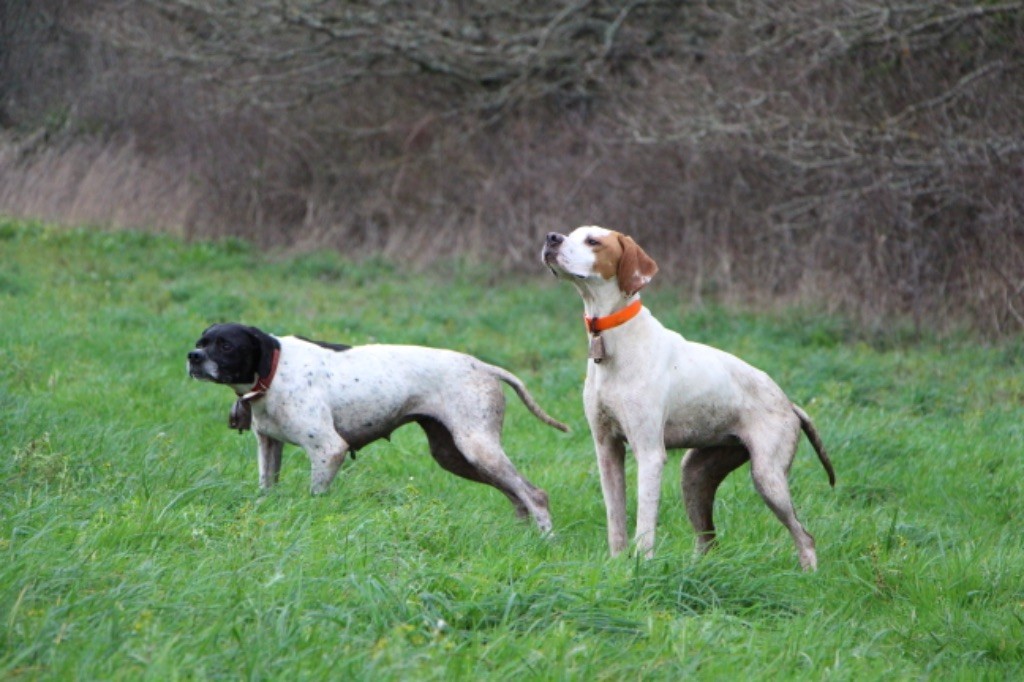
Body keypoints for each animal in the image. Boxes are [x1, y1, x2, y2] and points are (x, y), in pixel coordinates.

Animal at [186, 321, 569, 528]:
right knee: (516, 496)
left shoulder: (328, 450)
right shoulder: (269, 446)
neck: (275, 370)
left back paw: (546, 540)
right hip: (456, 455)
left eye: (225, 345)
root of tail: (484, 366)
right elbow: (266, 487)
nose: (193, 357)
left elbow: (316, 496)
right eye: (201, 342)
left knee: (534, 494)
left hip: (477, 448)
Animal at [540, 225, 835, 565]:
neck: (613, 338)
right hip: (694, 476)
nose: (551, 237)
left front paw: (641, 566)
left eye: (593, 241)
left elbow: (644, 527)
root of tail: (791, 405)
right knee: (708, 542)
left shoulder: (649, 453)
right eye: (571, 233)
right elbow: (616, 524)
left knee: (805, 538)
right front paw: (616, 566)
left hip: (768, 478)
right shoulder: (607, 449)